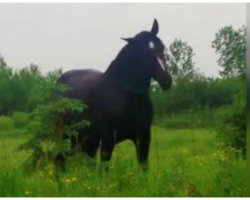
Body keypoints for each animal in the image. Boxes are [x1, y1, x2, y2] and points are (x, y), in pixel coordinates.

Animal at [56, 19, 172, 171]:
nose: (166, 80)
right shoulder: (108, 139)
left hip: (87, 139)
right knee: (60, 160)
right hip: (64, 135)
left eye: (162, 47)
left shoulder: (143, 136)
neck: (128, 96)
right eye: (143, 53)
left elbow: (143, 167)